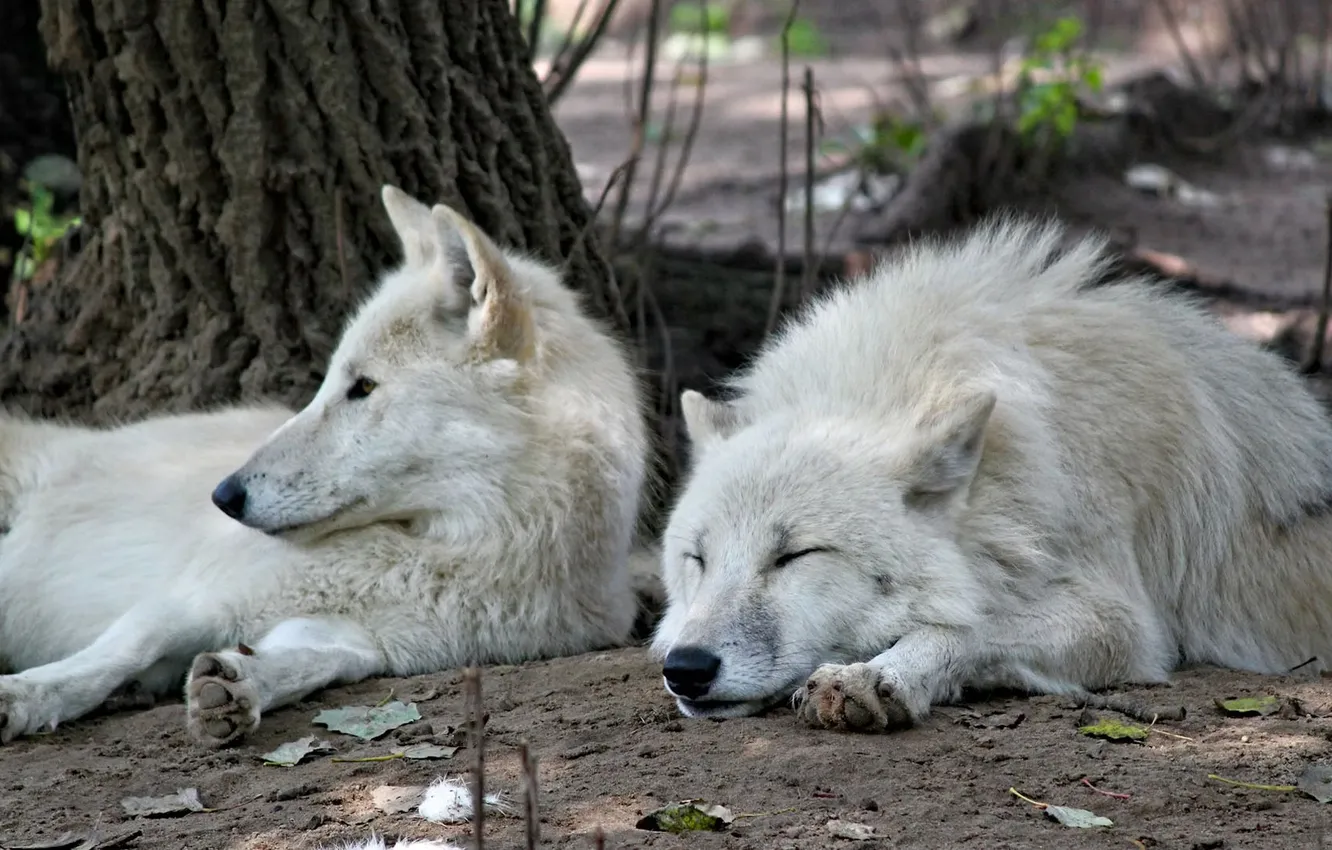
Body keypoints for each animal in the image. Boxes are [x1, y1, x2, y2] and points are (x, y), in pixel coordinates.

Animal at [0, 185, 650, 747]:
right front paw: (25, 697)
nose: (224, 496)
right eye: (331, 381)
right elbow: (111, 655)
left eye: (362, 387)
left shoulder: (360, 638)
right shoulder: (191, 596)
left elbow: (310, 661)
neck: (448, 549)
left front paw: (238, 685)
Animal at [651, 217, 1332, 732]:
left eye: (794, 556)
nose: (686, 668)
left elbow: (971, 623)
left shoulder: (1123, 620)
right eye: (697, 559)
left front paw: (879, 674)